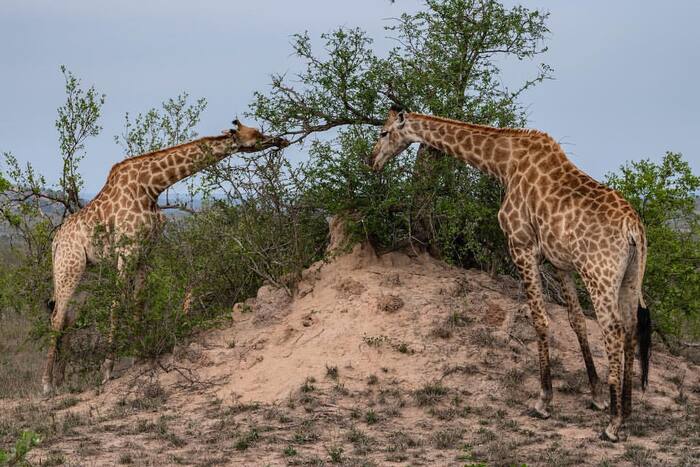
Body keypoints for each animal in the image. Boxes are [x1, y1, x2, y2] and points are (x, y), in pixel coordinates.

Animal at [41, 119, 288, 396]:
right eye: (256, 133)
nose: (280, 140)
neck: (152, 186)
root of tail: (55, 241)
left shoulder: (146, 252)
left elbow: (139, 302)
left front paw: (138, 356)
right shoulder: (127, 250)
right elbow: (117, 304)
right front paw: (107, 369)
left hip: (87, 272)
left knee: (69, 318)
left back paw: (61, 381)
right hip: (69, 265)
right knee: (57, 317)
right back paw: (47, 384)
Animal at [370, 106, 652, 442]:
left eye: (384, 132)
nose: (371, 161)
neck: (503, 163)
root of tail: (633, 228)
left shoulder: (521, 246)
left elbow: (540, 320)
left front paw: (544, 401)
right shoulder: (559, 262)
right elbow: (576, 322)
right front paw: (595, 396)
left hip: (599, 274)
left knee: (612, 329)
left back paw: (613, 424)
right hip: (631, 277)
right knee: (630, 327)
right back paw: (627, 411)